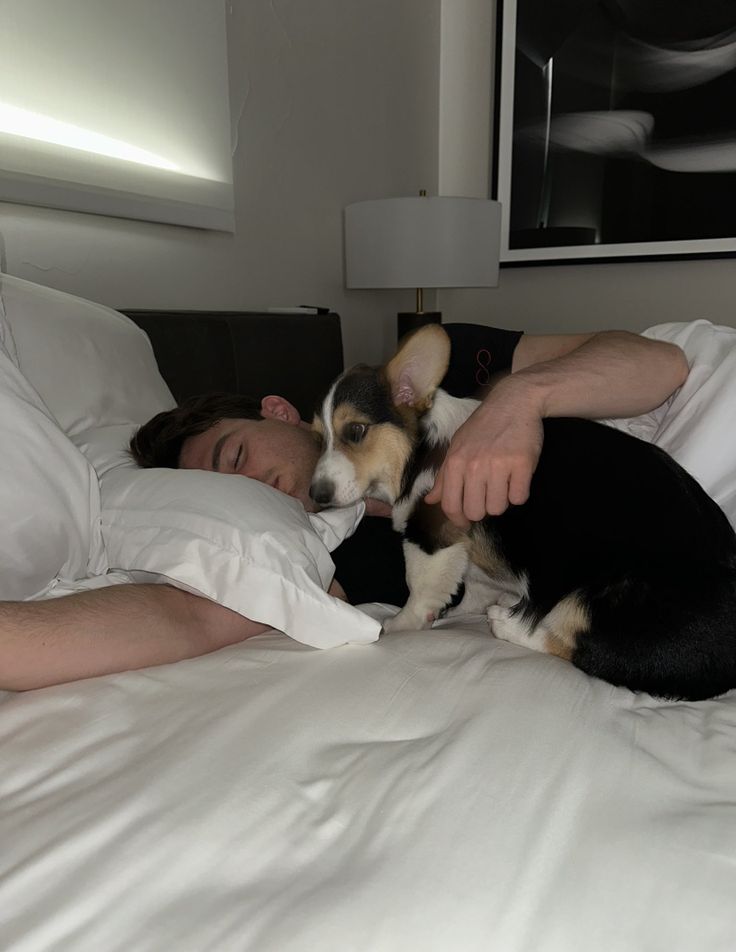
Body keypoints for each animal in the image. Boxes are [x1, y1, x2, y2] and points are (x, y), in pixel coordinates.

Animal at [312, 324, 736, 704]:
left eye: (356, 431)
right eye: (319, 438)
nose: (315, 494)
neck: (419, 451)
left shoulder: (432, 536)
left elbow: (419, 589)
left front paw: (400, 625)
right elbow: (473, 585)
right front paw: (455, 614)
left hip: (600, 592)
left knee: (575, 645)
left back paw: (507, 623)